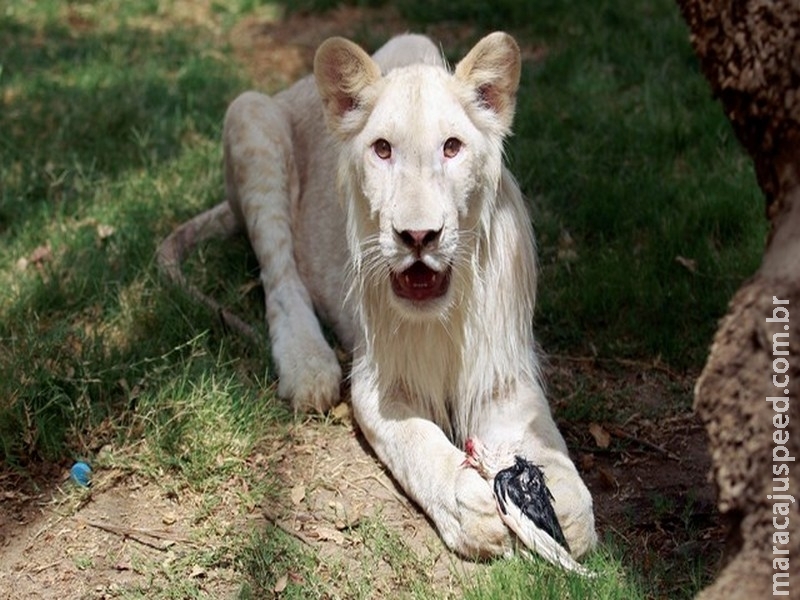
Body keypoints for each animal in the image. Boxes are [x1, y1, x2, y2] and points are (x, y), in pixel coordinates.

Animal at [158, 31, 592, 556]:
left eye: (452, 147)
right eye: (382, 149)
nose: (418, 236)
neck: (443, 316)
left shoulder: (501, 373)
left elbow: (546, 444)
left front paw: (559, 507)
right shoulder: (376, 381)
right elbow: (416, 442)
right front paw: (465, 502)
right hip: (251, 117)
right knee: (280, 276)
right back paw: (308, 366)